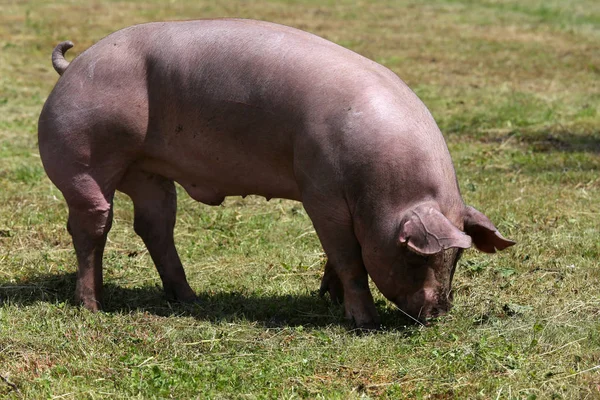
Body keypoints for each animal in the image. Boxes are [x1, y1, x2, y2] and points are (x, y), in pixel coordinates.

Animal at [38, 18, 516, 328]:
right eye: (419, 254)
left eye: (457, 257)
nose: (438, 315)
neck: (381, 194)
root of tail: (72, 67)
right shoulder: (321, 194)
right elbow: (348, 256)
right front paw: (362, 321)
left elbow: (338, 255)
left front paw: (328, 299)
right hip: (82, 159)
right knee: (91, 225)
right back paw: (92, 307)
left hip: (149, 173)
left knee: (155, 225)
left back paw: (189, 300)